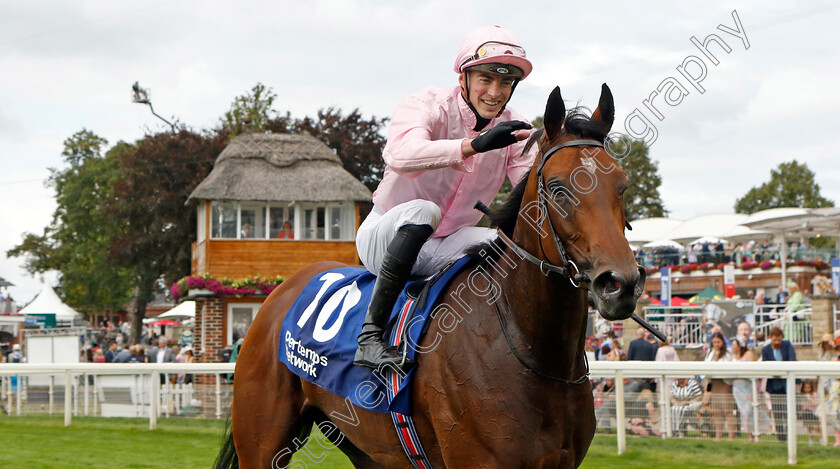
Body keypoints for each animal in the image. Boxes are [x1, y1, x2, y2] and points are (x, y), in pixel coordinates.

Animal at [215, 84, 644, 468]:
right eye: (557, 189)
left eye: (622, 186)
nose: (620, 283)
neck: (534, 352)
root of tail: (279, 292)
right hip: (262, 443)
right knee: (421, 213)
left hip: (372, 451)